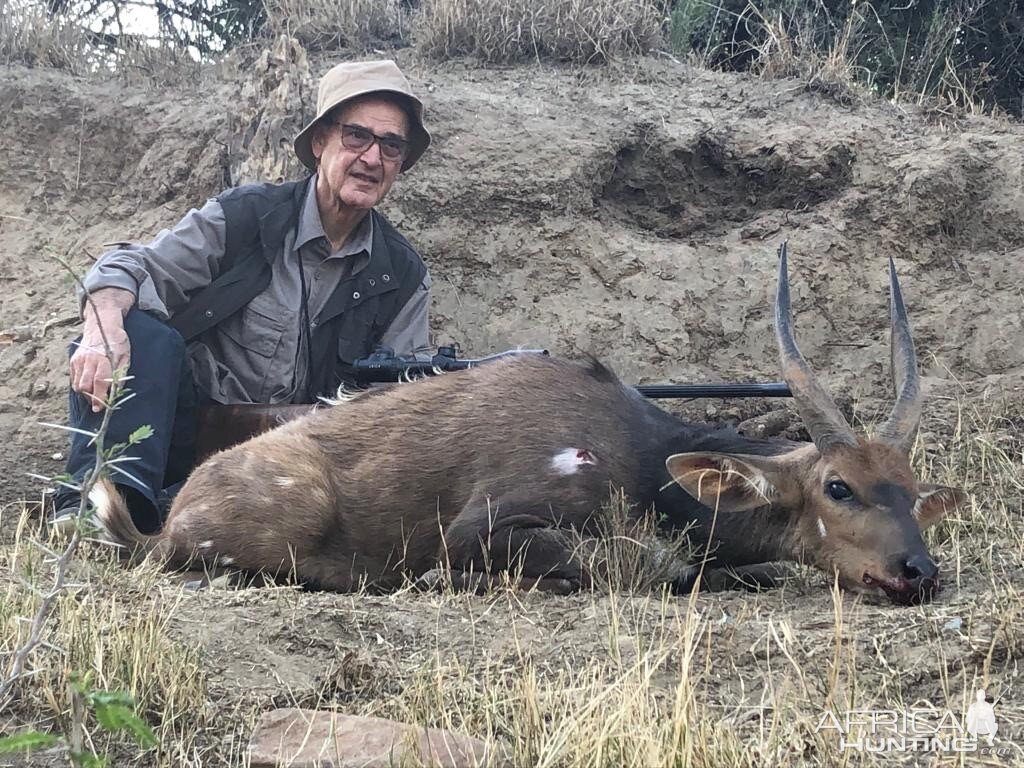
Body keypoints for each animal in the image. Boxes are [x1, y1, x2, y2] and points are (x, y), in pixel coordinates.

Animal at [92, 249, 962, 606]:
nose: (918, 571)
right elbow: (631, 566)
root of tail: (168, 516)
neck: (642, 462)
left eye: (913, 492)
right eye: (837, 486)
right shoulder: (488, 525)